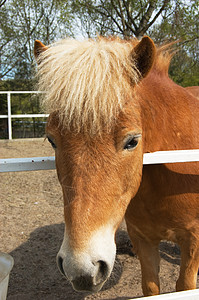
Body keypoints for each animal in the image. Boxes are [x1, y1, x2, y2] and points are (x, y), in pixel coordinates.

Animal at [34, 36, 199, 296]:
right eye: (52, 140)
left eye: (132, 141)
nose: (81, 269)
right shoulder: (142, 238)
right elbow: (150, 287)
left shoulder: (193, 240)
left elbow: (185, 287)